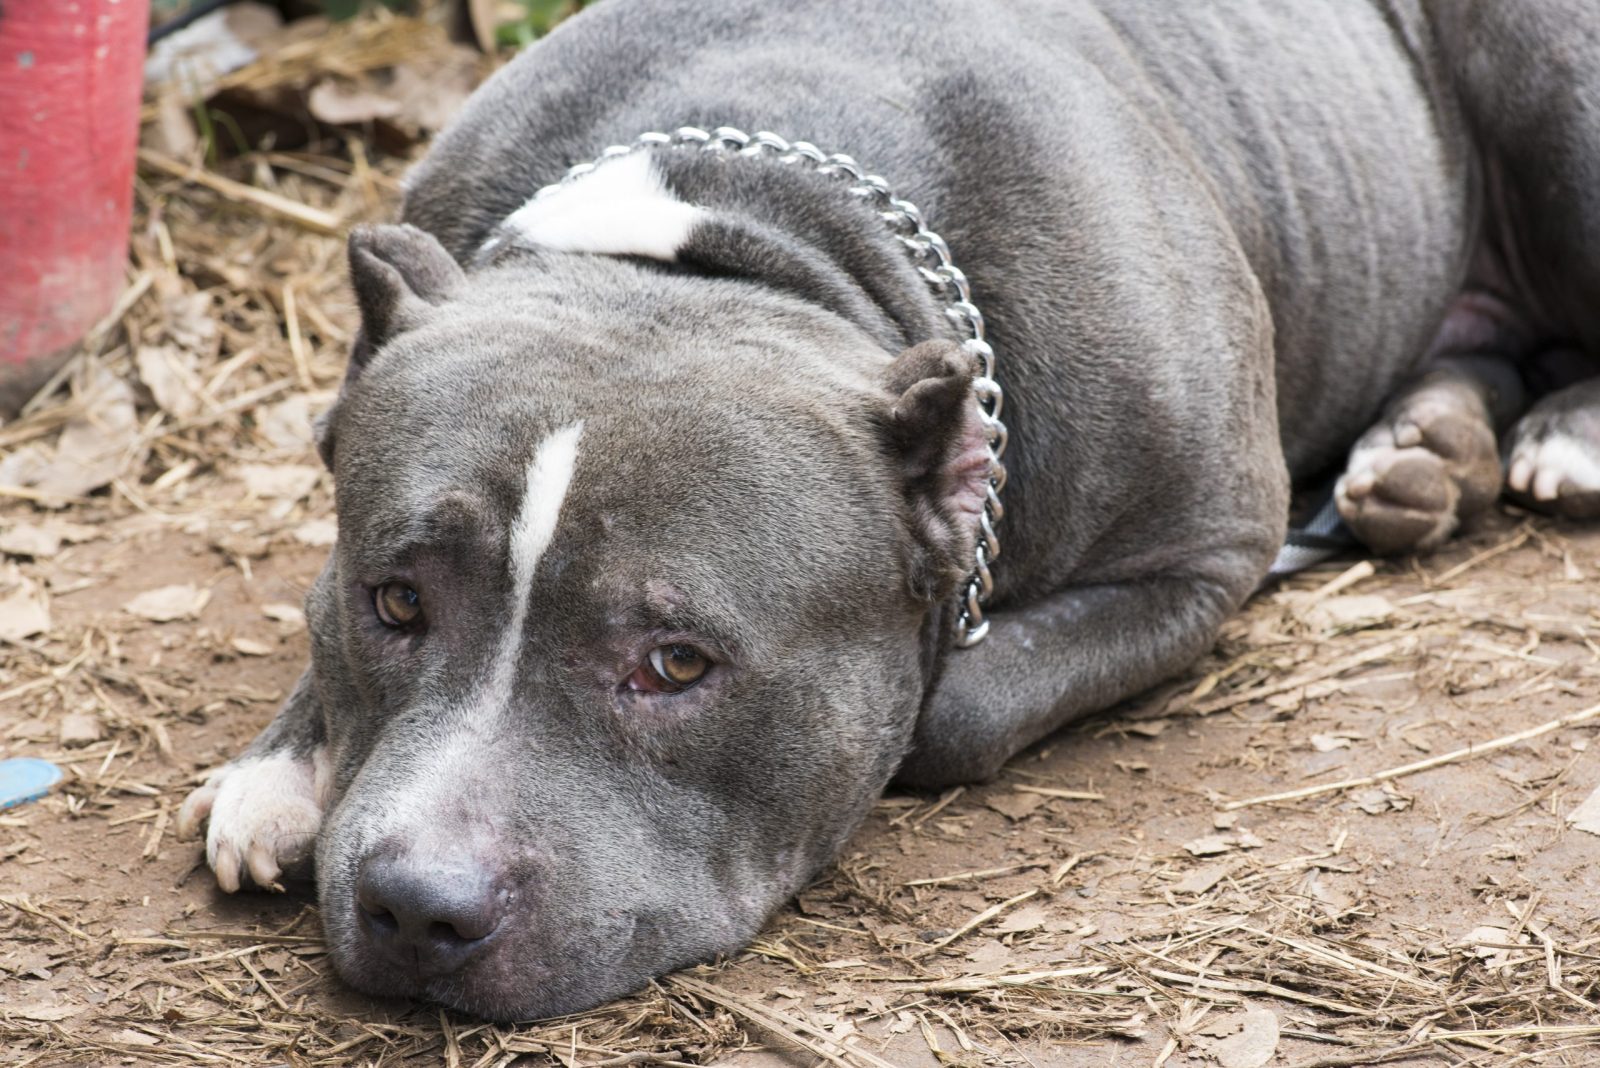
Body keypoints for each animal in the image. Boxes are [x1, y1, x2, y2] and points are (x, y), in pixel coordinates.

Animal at [175, 0, 1600, 1016]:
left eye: (676, 663)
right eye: (395, 600)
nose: (419, 903)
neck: (732, 238)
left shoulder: (1201, 554)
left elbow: (946, 707)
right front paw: (280, 773)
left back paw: (1550, 434)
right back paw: (1424, 456)